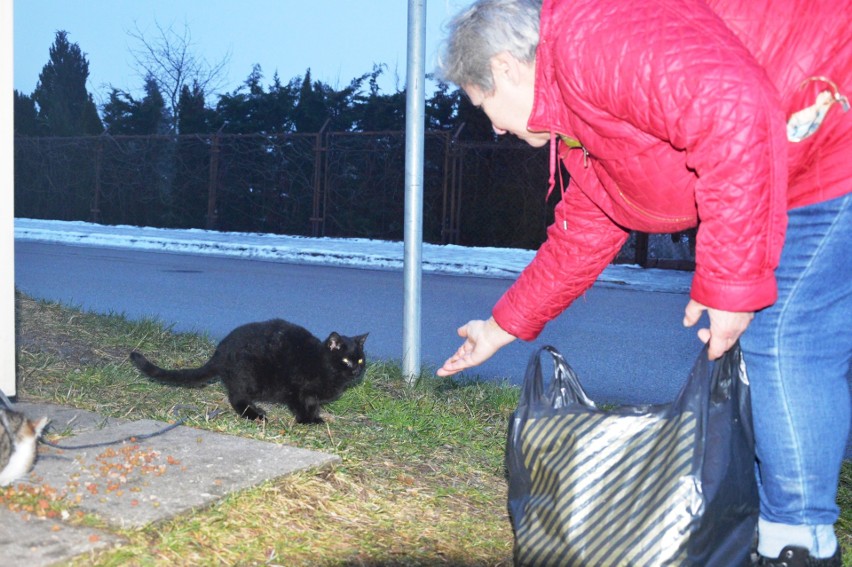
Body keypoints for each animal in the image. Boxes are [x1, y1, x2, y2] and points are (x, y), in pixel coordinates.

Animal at [130, 318, 366, 424]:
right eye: (346, 360)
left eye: (361, 360)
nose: (356, 371)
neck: (321, 363)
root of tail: (220, 350)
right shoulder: (297, 389)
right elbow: (302, 405)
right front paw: (307, 421)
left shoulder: (311, 395)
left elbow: (313, 404)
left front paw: (315, 417)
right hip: (249, 378)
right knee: (236, 398)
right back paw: (255, 415)